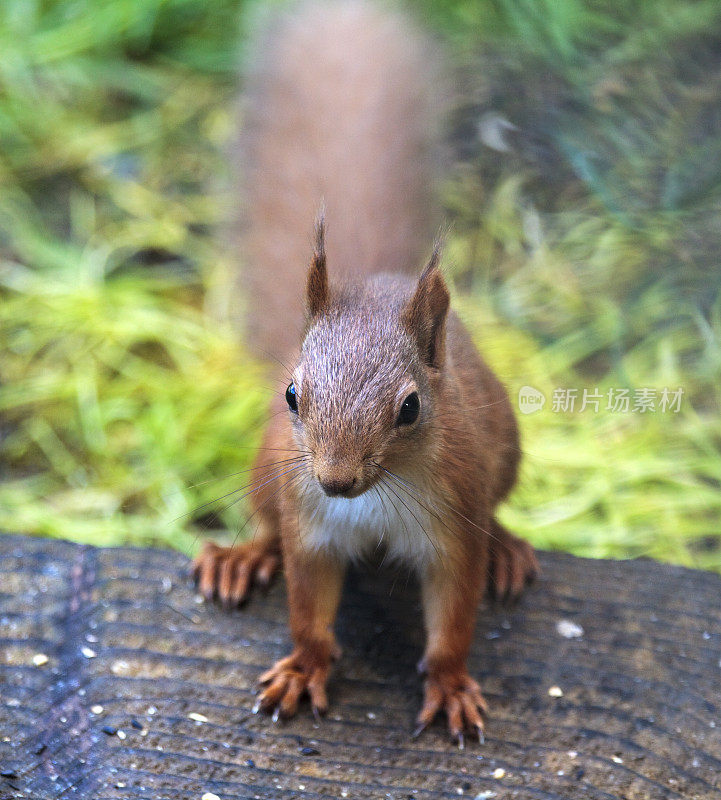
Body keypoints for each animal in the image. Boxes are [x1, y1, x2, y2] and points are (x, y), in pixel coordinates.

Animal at [194, 0, 536, 744]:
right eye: (292, 393)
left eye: (409, 408)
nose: (335, 479)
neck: (375, 499)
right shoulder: (311, 524)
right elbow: (308, 607)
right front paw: (303, 667)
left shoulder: (454, 521)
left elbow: (453, 622)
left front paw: (450, 684)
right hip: (267, 470)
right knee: (266, 523)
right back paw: (245, 556)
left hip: (503, 456)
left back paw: (506, 549)